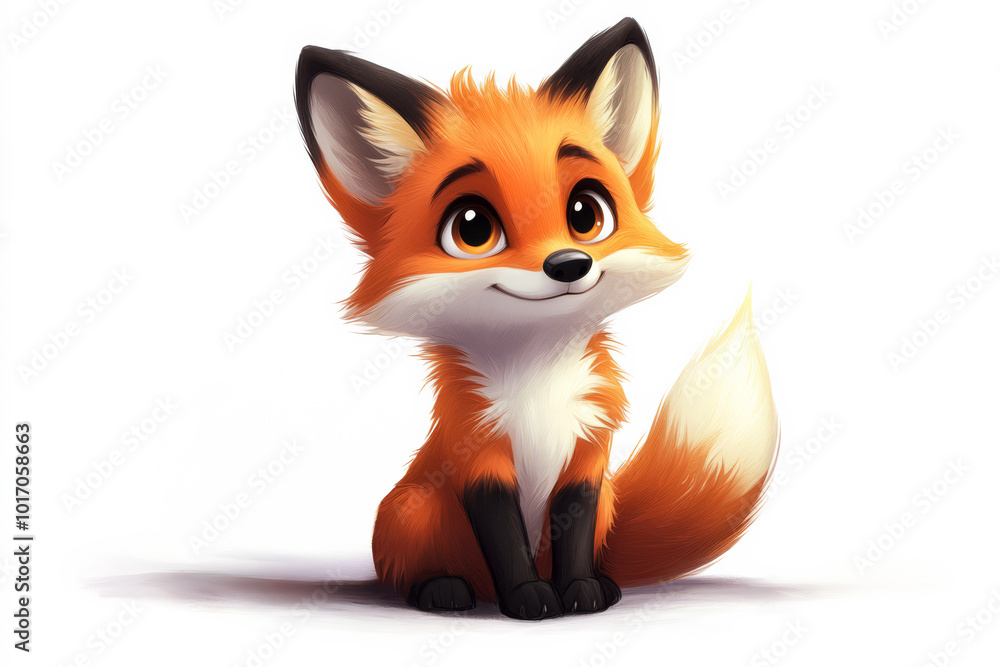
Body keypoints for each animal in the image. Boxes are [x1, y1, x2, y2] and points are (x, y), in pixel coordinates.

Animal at [293, 18, 779, 620]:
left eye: (586, 214)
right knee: (418, 573)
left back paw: (605, 582)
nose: (569, 264)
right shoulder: (479, 455)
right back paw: (443, 590)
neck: (538, 379)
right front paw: (528, 598)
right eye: (472, 228)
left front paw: (581, 592)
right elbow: (506, 541)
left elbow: (574, 535)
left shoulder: (588, 456)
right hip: (412, 510)